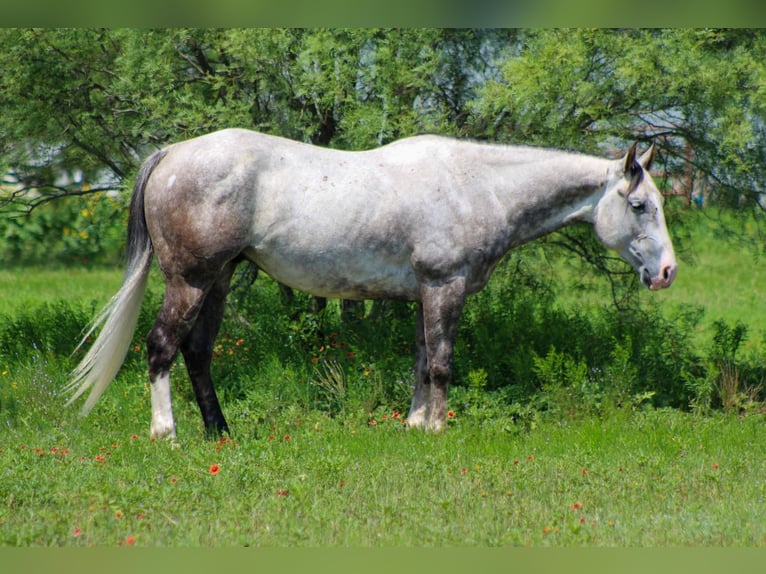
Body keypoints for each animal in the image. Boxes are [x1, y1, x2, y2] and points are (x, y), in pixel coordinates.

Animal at [66, 129, 677, 439]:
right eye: (640, 206)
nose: (667, 272)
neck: (477, 186)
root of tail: (173, 153)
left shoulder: (423, 293)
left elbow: (420, 360)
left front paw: (413, 425)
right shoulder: (444, 287)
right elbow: (441, 363)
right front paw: (437, 430)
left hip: (218, 279)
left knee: (197, 352)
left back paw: (221, 432)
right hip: (190, 280)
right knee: (160, 347)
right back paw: (166, 433)